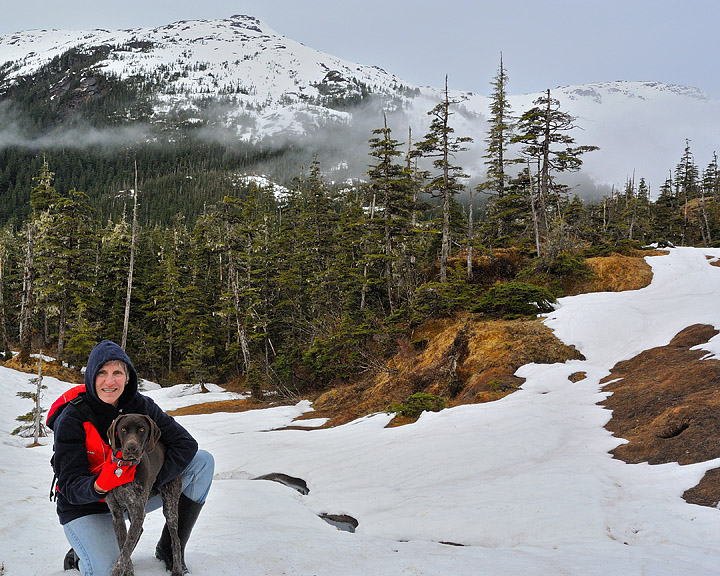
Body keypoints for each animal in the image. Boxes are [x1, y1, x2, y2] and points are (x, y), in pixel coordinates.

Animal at [105, 414, 184, 576]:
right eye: (123, 429)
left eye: (142, 429)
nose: (131, 448)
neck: (124, 467)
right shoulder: (117, 514)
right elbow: (124, 547)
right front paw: (128, 571)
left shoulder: (137, 512)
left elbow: (125, 550)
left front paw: (118, 571)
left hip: (170, 505)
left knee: (176, 539)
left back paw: (177, 570)